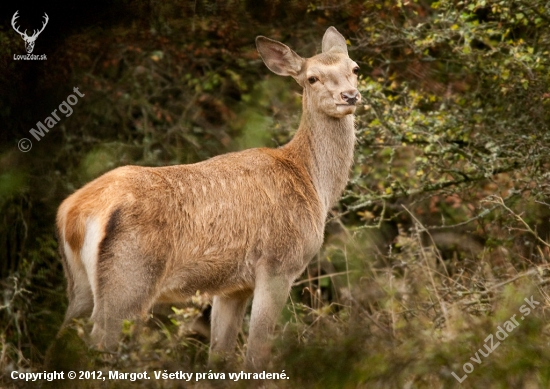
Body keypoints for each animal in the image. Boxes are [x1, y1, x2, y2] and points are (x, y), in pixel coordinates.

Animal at [57, 26, 362, 366]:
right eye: (312, 78)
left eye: (355, 69)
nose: (350, 96)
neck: (312, 183)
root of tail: (74, 212)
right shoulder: (279, 263)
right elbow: (256, 353)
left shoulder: (232, 287)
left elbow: (220, 355)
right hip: (129, 279)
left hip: (79, 285)